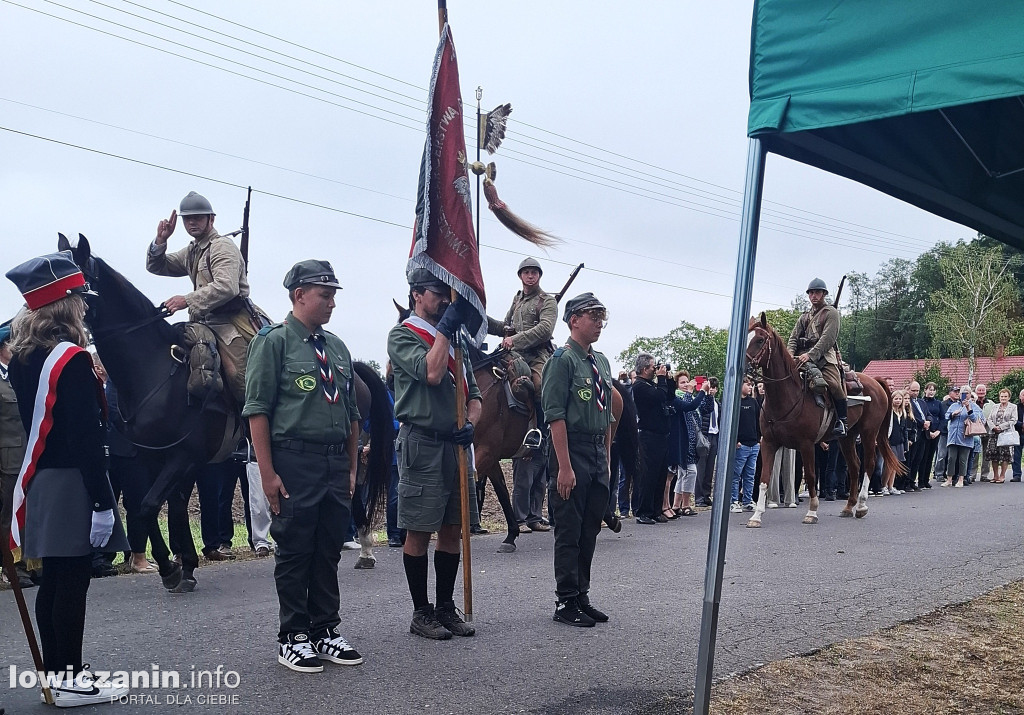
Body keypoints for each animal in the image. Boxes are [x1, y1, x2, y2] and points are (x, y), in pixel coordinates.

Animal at [60, 236, 391, 585]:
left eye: (74, 279)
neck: (156, 370)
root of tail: (354, 371)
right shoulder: (157, 459)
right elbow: (154, 509)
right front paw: (182, 565)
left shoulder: (184, 457)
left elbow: (151, 506)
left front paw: (172, 568)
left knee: (351, 491)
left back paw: (365, 549)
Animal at [741, 315, 901, 524]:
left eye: (760, 340)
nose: (743, 368)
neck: (788, 396)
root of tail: (875, 382)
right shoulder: (768, 443)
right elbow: (764, 478)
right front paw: (757, 515)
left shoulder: (806, 445)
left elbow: (810, 476)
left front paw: (812, 512)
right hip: (847, 438)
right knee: (855, 466)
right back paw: (849, 506)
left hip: (868, 433)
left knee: (869, 464)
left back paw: (861, 506)